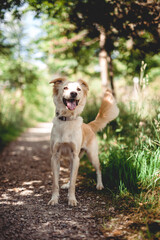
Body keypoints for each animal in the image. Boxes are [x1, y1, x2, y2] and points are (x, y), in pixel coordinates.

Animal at [47, 77, 119, 206]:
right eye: (65, 87)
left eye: (78, 89)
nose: (73, 94)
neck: (67, 119)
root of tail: (89, 126)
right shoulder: (55, 156)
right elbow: (55, 183)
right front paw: (54, 199)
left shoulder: (75, 156)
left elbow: (74, 182)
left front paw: (72, 199)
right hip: (71, 160)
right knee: (72, 173)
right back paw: (67, 184)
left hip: (91, 156)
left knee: (98, 168)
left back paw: (99, 185)